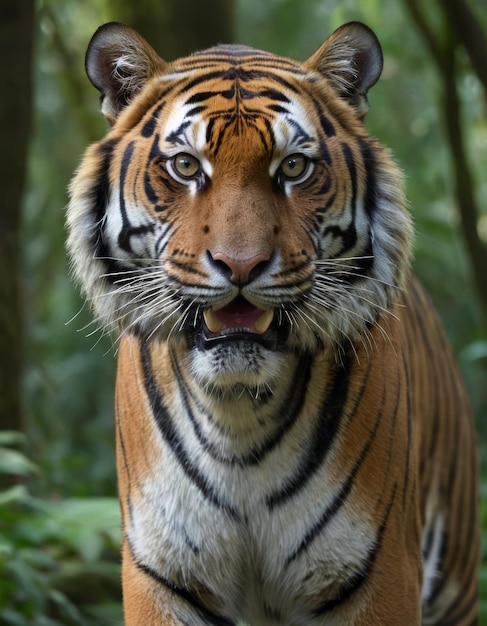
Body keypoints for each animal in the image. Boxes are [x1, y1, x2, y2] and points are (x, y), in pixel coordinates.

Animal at [66, 19, 482, 624]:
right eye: (186, 166)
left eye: (293, 166)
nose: (241, 265)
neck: (237, 415)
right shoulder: (163, 573)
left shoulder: (379, 573)